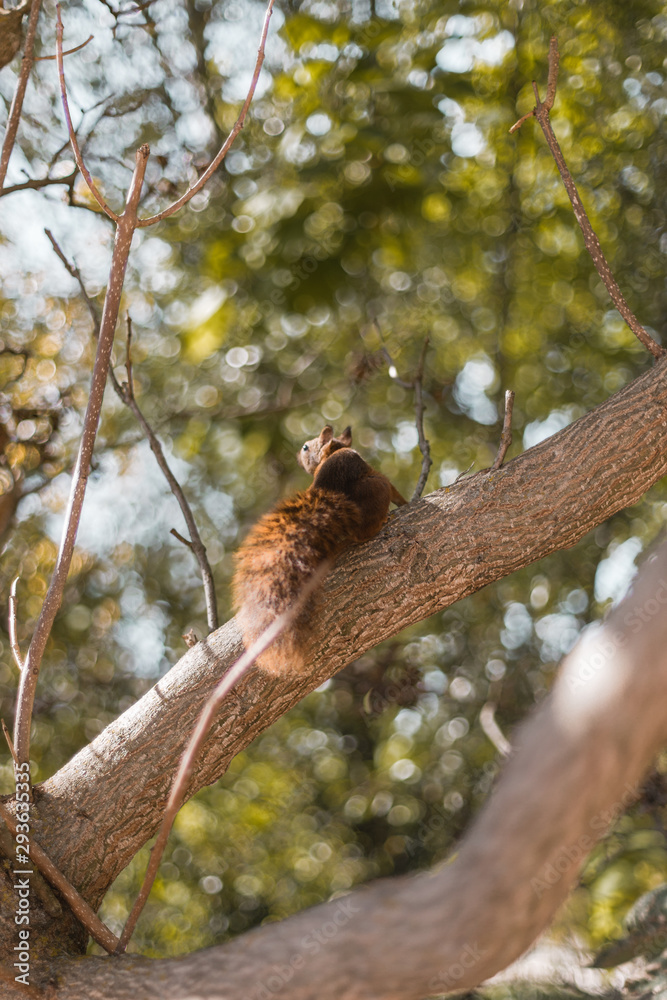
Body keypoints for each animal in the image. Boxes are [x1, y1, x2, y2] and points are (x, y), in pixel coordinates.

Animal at [232, 426, 410, 676]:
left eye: (305, 447)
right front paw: (405, 502)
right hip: (377, 485)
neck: (334, 450)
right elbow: (395, 491)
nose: (298, 457)